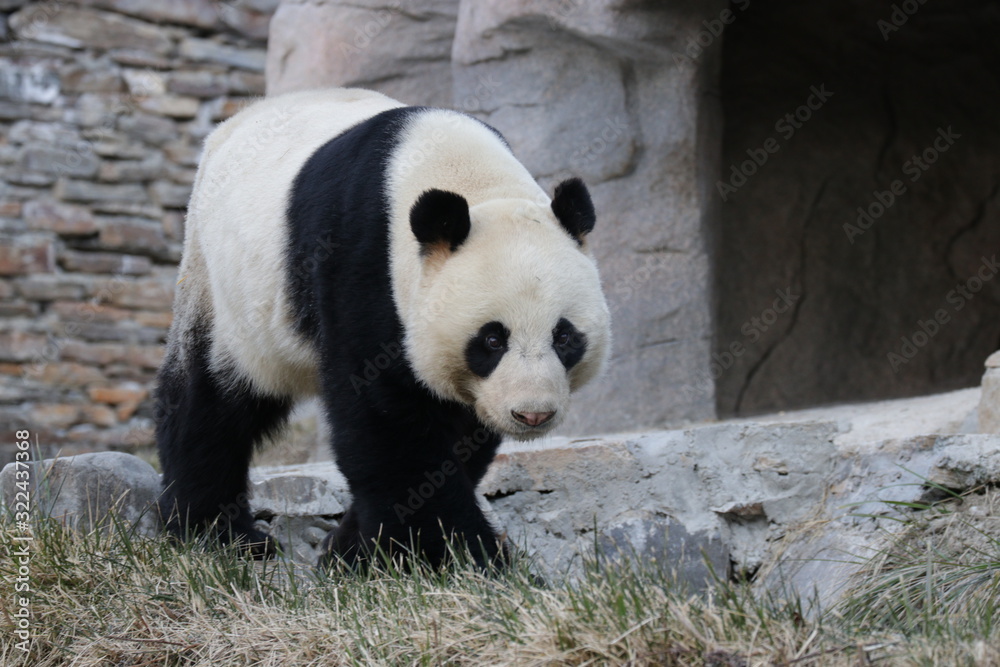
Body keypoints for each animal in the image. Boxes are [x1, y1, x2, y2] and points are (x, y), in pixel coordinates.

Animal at [155, 88, 611, 570]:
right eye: (492, 339)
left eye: (564, 337)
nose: (532, 415)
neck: (467, 175)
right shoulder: (364, 260)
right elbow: (386, 417)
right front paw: (464, 558)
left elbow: (461, 433)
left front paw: (350, 549)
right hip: (220, 283)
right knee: (211, 399)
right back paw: (217, 532)